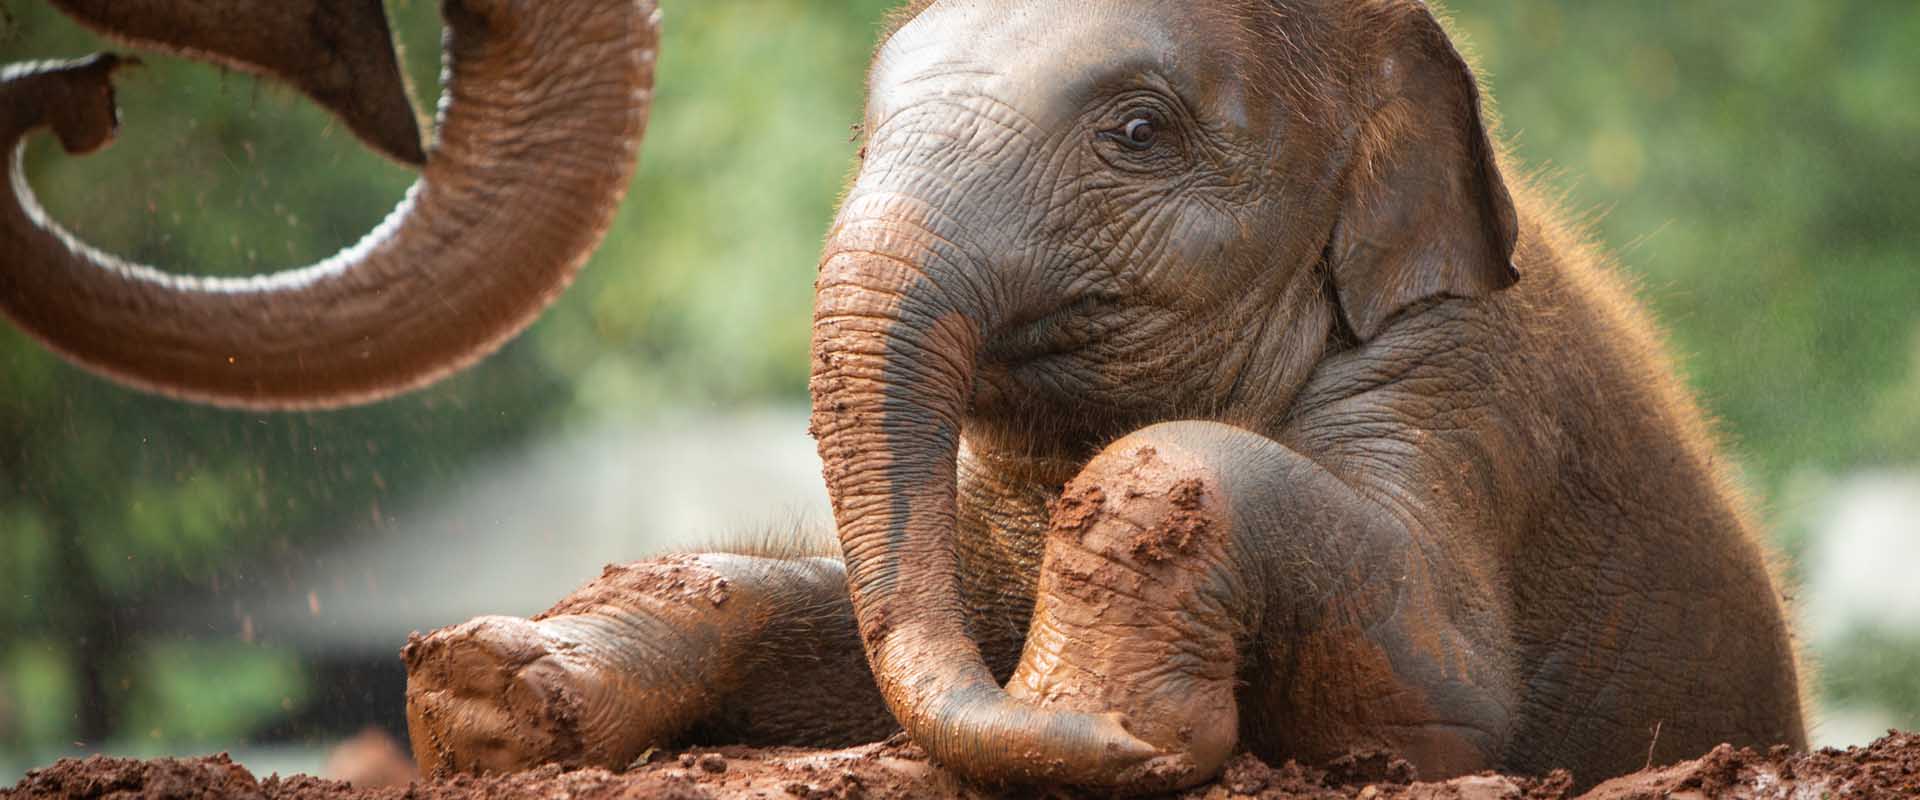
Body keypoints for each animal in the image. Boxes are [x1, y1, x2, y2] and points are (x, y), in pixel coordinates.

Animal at [405, 0, 1797, 790]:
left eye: (1137, 132)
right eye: (862, 139)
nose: (457, 672)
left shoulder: (1466, 389)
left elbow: (1449, 697)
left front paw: (1099, 719)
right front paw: (482, 690)